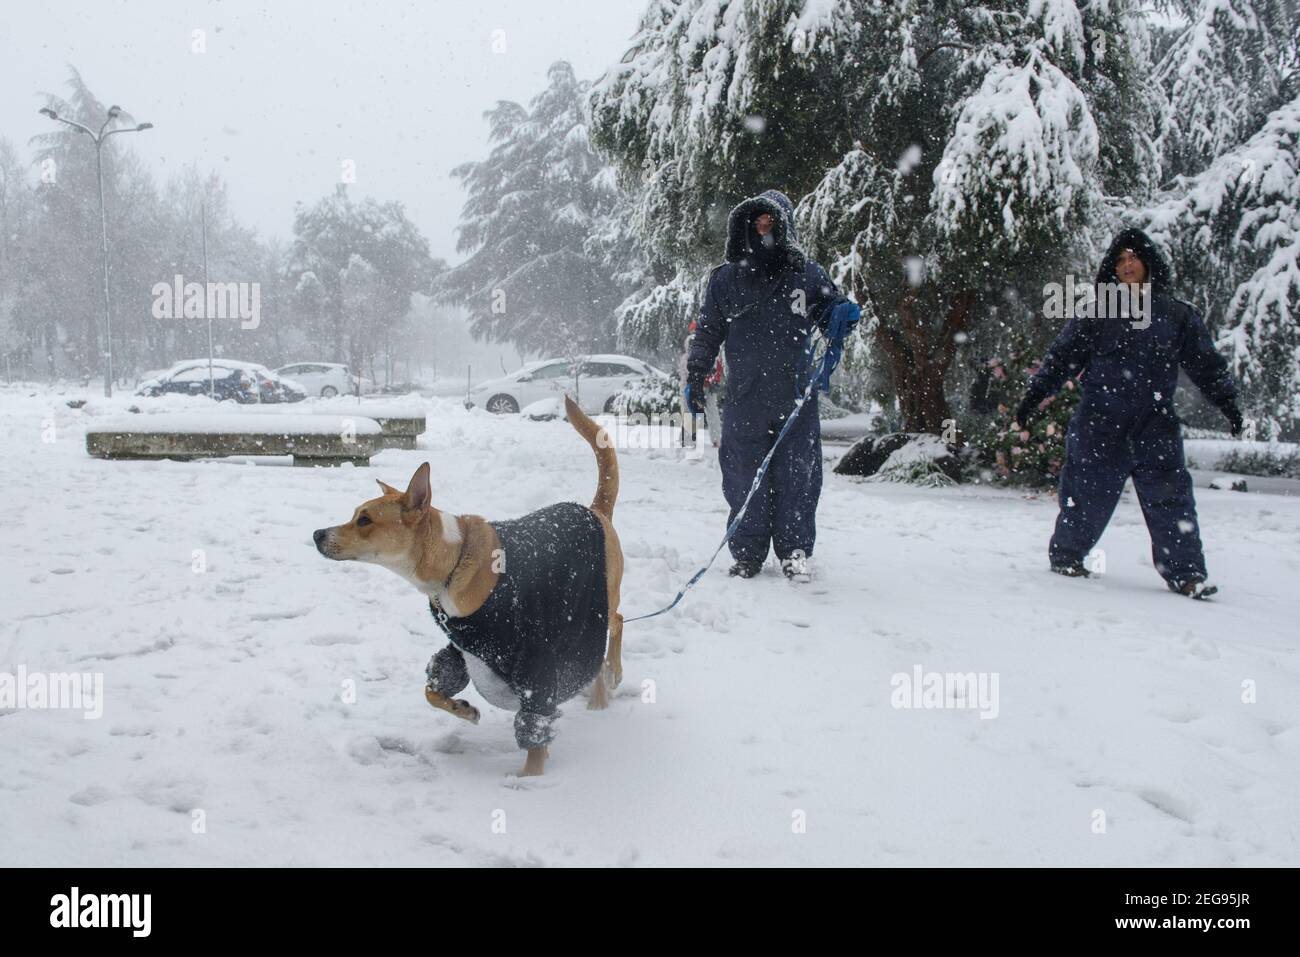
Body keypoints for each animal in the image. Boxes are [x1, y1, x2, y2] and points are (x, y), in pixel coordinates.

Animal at [312, 395, 621, 780]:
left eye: (365, 520)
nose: (317, 534)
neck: (453, 560)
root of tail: (595, 511)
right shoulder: (464, 645)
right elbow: (432, 689)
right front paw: (464, 708)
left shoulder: (534, 662)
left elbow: (535, 725)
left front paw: (529, 780)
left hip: (601, 598)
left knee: (617, 624)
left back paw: (608, 681)